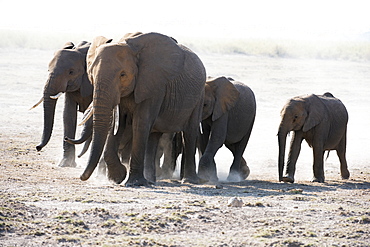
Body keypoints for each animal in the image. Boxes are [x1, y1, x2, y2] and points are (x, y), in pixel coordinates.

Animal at [81, 32, 207, 186]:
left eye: (122, 75)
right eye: (91, 74)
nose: (82, 177)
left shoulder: (154, 86)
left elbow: (140, 124)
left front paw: (134, 182)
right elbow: (117, 124)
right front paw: (118, 177)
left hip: (199, 96)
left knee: (189, 132)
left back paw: (189, 181)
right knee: (154, 136)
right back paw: (151, 180)